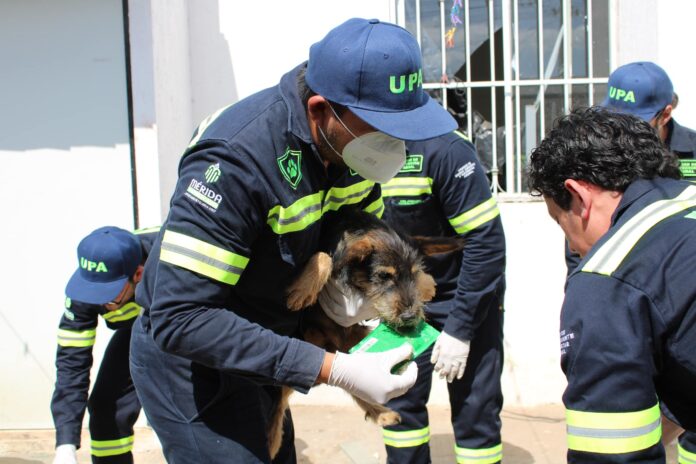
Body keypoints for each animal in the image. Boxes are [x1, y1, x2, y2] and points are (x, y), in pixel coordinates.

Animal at [270, 207, 464, 456]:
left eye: (412, 273)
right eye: (384, 275)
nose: (410, 317)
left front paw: (426, 284)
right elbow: (325, 256)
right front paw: (303, 289)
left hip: (352, 344)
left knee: (351, 382)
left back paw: (381, 412)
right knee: (281, 401)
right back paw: (272, 440)